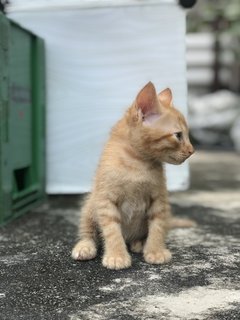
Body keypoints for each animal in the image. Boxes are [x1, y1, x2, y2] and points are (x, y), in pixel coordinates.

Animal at [71, 82, 195, 270]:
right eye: (178, 135)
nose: (192, 151)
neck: (137, 163)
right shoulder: (105, 200)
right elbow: (112, 230)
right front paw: (117, 256)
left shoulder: (159, 199)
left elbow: (157, 226)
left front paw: (155, 251)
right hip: (90, 204)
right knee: (87, 231)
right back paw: (85, 246)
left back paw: (139, 243)